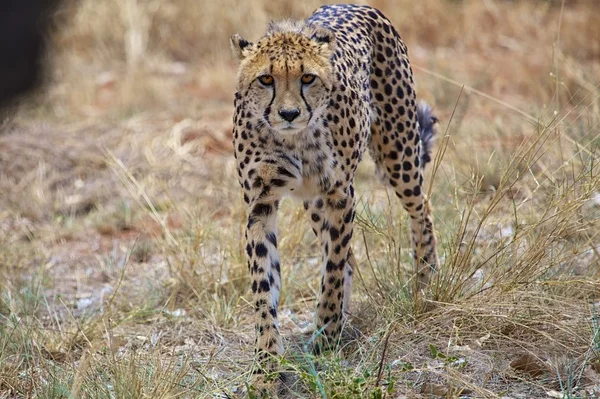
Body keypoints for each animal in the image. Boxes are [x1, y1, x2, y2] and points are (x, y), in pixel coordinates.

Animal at [230, 1, 440, 378]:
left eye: (307, 78)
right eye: (266, 79)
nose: (288, 113)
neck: (292, 138)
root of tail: (355, 4)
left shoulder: (341, 195)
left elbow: (332, 268)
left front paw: (326, 334)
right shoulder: (260, 204)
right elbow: (264, 285)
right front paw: (266, 365)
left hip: (397, 154)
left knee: (421, 207)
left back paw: (426, 278)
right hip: (314, 201)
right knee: (346, 255)